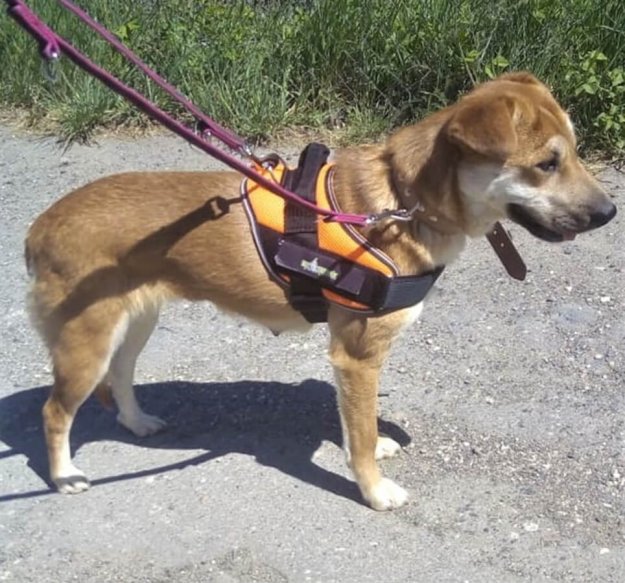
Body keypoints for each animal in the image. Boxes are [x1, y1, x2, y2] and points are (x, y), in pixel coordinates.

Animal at [25, 72, 616, 510]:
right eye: (546, 164)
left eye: (575, 153)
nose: (609, 212)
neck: (402, 202)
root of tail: (42, 226)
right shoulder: (356, 355)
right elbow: (358, 436)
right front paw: (373, 491)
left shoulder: (352, 362)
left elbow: (358, 425)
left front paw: (373, 442)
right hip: (86, 341)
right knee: (55, 412)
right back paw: (65, 475)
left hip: (133, 322)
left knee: (120, 376)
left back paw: (137, 421)